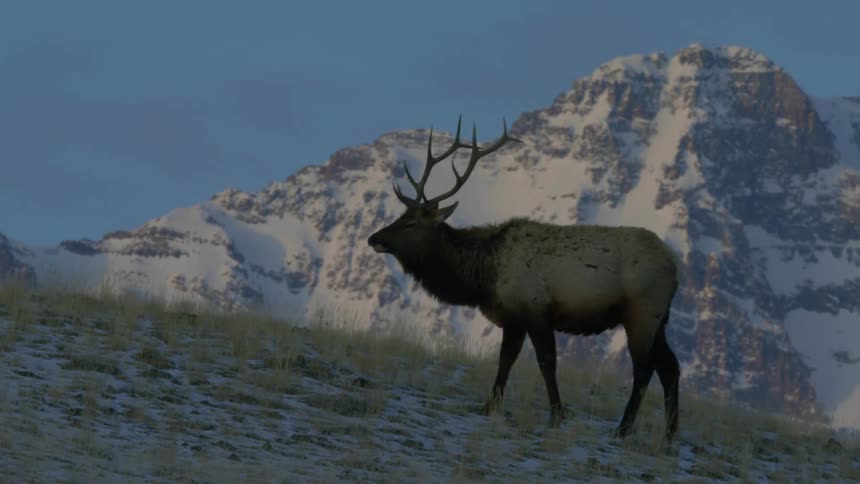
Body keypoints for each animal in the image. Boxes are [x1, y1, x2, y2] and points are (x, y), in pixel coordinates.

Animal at [367, 117, 681, 442]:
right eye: (400, 216)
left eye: (411, 223)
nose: (373, 238)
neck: (483, 276)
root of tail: (676, 264)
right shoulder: (513, 317)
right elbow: (506, 359)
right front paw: (489, 405)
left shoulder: (536, 309)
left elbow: (547, 361)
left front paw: (557, 414)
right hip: (659, 319)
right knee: (671, 367)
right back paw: (669, 435)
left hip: (642, 311)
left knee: (644, 367)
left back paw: (624, 428)